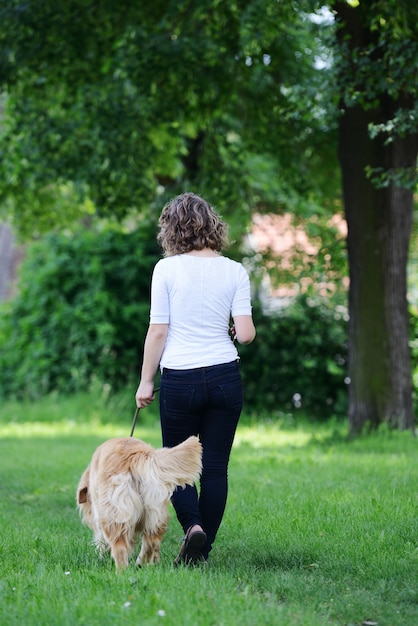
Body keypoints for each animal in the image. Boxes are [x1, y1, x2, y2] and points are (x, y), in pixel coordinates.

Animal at [79, 436, 204, 568]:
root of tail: (138, 457)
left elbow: (101, 540)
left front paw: (102, 556)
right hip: (155, 514)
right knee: (151, 543)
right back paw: (143, 564)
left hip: (114, 516)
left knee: (120, 548)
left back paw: (122, 571)